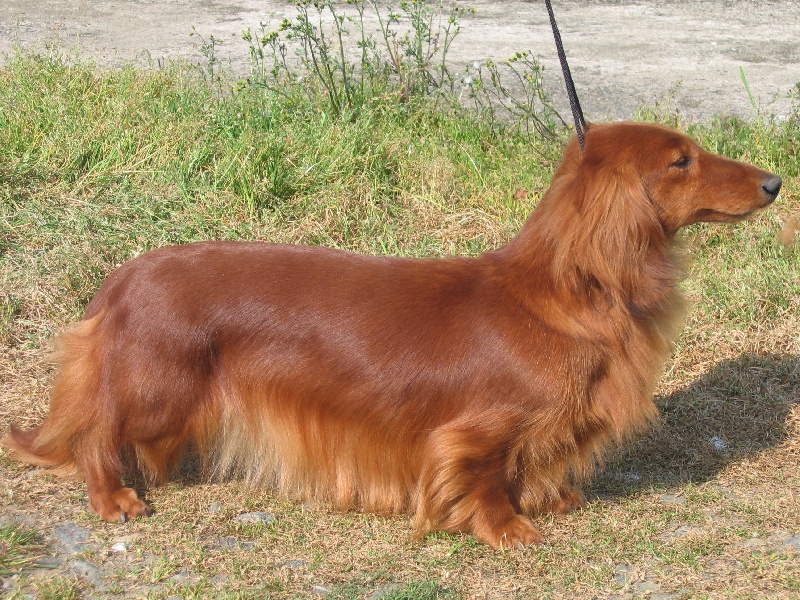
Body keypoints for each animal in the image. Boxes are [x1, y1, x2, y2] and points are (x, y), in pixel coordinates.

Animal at [3, 122, 780, 548]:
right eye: (681, 160)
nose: (775, 181)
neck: (566, 292)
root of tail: (122, 280)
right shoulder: (478, 430)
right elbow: (487, 478)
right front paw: (508, 529)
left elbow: (532, 465)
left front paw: (551, 498)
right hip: (160, 388)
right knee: (96, 433)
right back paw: (113, 499)